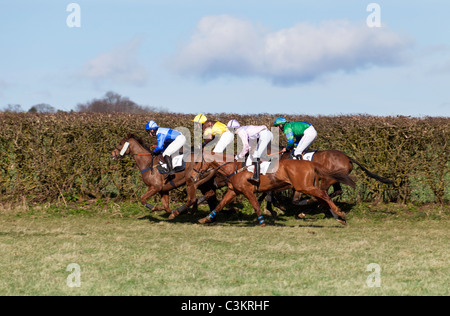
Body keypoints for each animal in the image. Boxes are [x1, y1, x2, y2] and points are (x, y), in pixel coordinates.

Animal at [190, 152, 356, 225]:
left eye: (197, 162)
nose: (192, 177)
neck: (234, 167)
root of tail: (310, 163)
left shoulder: (247, 190)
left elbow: (256, 205)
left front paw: (262, 221)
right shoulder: (234, 191)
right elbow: (219, 205)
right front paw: (206, 218)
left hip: (304, 186)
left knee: (323, 195)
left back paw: (339, 213)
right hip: (308, 186)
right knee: (322, 197)